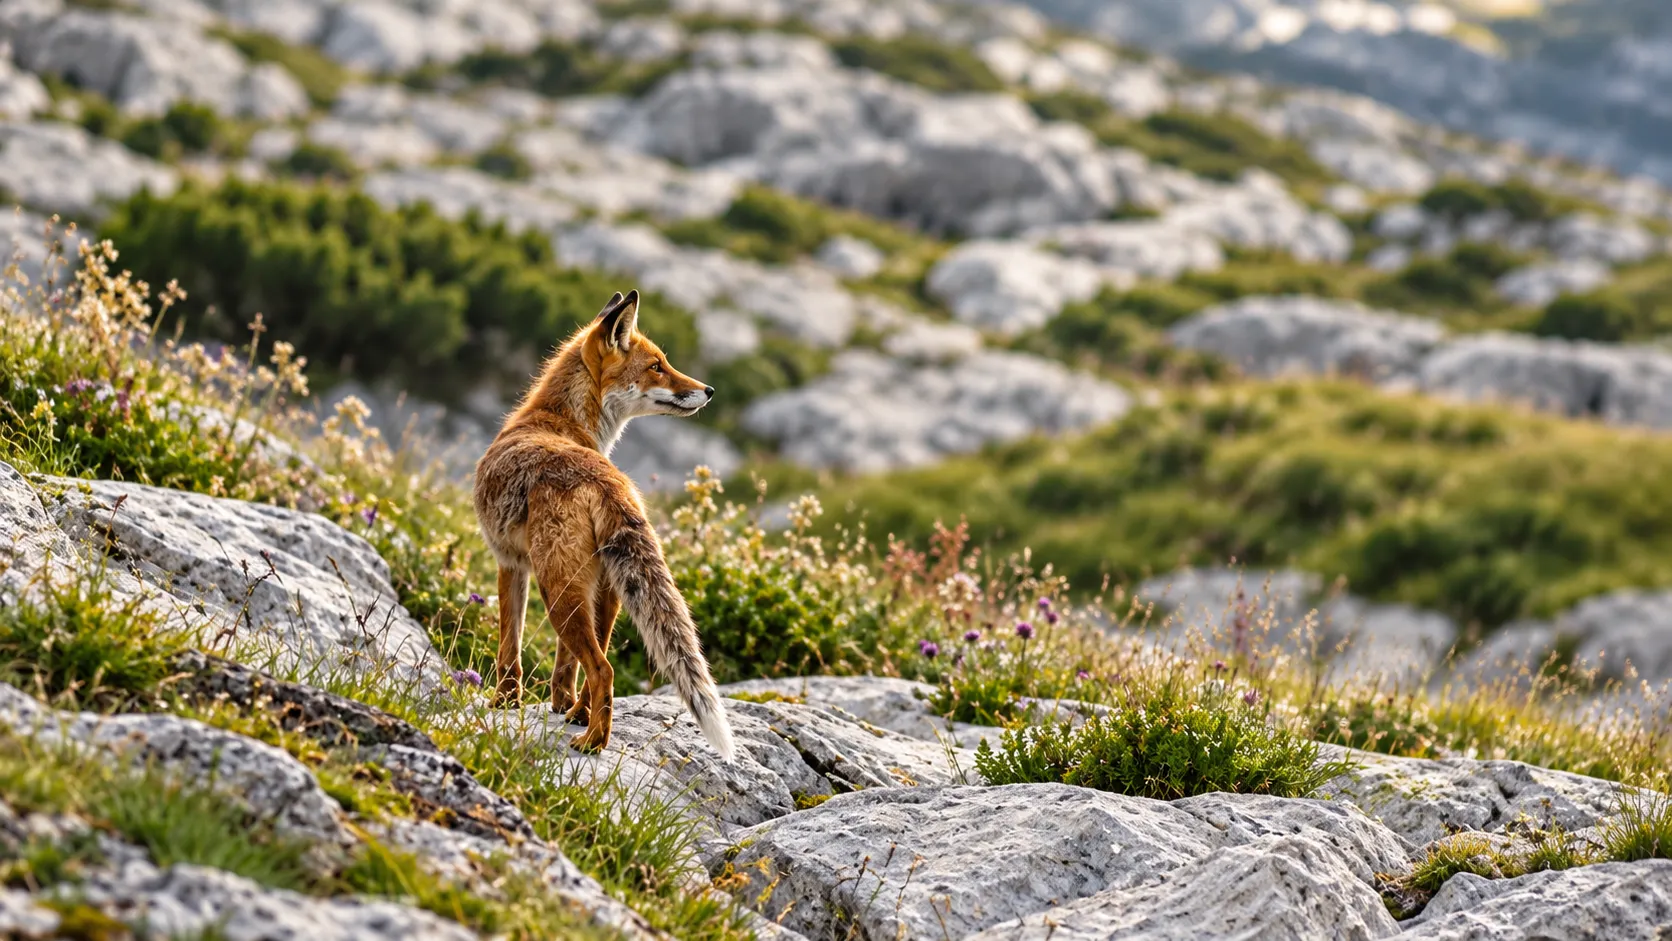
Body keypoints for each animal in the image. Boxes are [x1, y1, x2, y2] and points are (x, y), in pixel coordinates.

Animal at [472, 289, 735, 759]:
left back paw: (594, 741)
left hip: (557, 588)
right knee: (597, 661)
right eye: (656, 366)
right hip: (603, 587)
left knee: (604, 668)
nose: (707, 390)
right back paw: (583, 718)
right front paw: (562, 707)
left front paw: (503, 702)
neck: (560, 421)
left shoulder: (509, 563)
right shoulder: (573, 579)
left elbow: (509, 648)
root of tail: (605, 479)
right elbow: (562, 665)